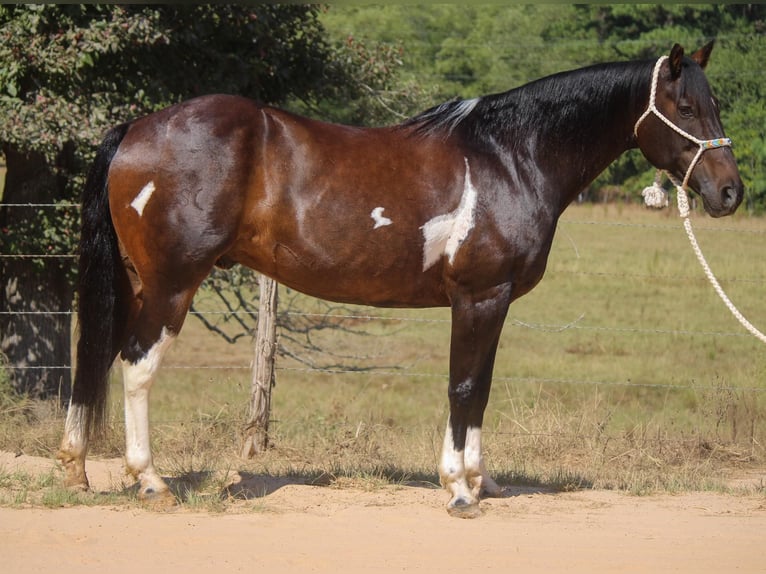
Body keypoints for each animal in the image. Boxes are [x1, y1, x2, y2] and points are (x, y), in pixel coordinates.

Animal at [58, 42, 744, 520]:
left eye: (716, 106)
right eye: (686, 108)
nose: (730, 193)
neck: (509, 156)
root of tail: (137, 129)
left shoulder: (493, 302)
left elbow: (480, 388)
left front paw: (481, 481)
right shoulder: (478, 297)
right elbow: (463, 386)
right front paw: (458, 490)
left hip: (136, 284)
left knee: (98, 356)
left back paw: (76, 467)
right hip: (172, 284)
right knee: (137, 364)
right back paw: (149, 481)